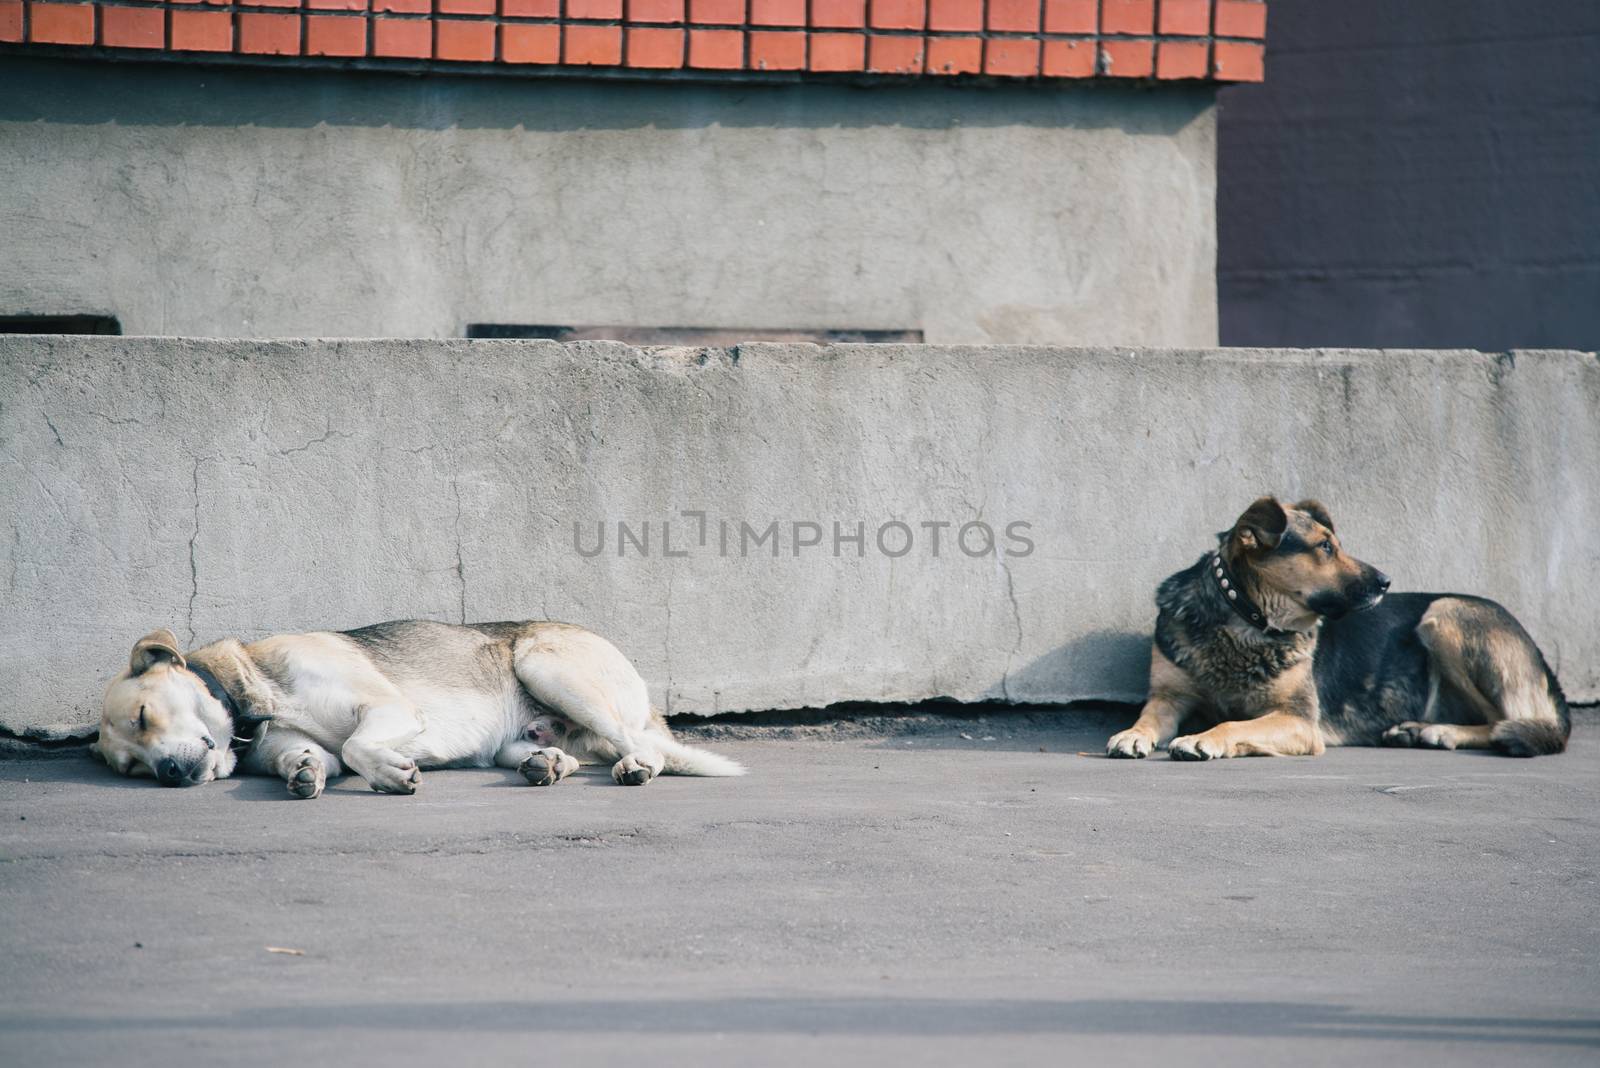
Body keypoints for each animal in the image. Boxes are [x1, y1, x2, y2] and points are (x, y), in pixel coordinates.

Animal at [96, 617, 745, 799]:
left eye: (143, 717)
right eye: (131, 766)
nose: (168, 773)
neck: (251, 703)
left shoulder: (391, 708)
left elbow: (357, 745)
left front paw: (388, 773)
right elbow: (316, 758)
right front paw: (303, 772)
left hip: (547, 666)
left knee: (642, 747)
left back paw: (635, 766)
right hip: (518, 736)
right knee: (560, 753)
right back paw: (547, 765)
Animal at [1107, 498, 1568, 757]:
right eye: (1325, 547)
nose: (1385, 581)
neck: (1245, 622)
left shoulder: (1298, 721)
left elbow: (1235, 725)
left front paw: (1205, 738)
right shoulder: (1169, 696)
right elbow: (1149, 717)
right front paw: (1132, 733)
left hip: (1444, 615)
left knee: (1514, 722)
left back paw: (1440, 732)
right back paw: (1415, 730)